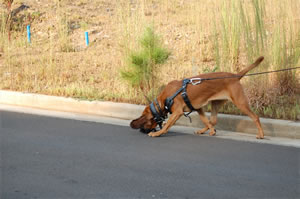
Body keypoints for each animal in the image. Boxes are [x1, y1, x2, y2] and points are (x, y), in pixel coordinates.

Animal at [130, 56, 264, 139]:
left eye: (144, 122)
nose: (141, 131)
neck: (165, 98)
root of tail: (235, 76)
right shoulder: (198, 108)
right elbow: (206, 120)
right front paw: (212, 131)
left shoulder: (177, 112)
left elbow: (167, 125)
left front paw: (158, 133)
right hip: (216, 103)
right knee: (213, 120)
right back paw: (204, 131)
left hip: (240, 102)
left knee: (255, 117)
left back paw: (261, 135)